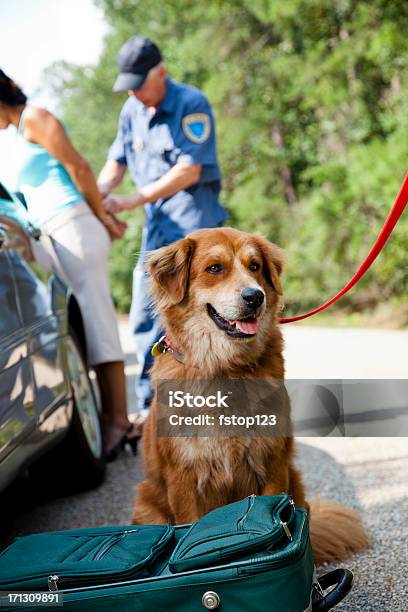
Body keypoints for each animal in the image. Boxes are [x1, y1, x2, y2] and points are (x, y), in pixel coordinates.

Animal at [132, 226, 368, 564]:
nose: (255, 297)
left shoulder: (273, 465)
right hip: (146, 503)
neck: (226, 368)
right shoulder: (183, 478)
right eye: (214, 268)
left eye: (254, 266)